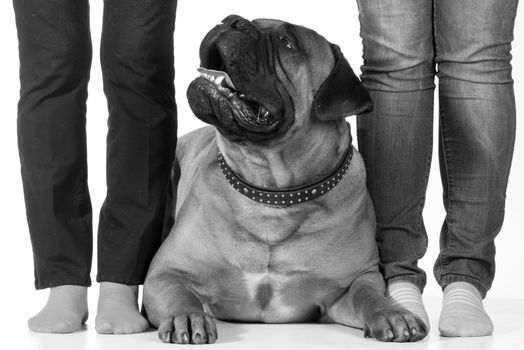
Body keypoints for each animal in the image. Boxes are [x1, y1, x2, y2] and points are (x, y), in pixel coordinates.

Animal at [141, 15, 428, 344]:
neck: (271, 194)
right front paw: (187, 317)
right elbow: (180, 295)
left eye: (287, 43)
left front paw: (392, 313)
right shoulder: (167, 271)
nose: (232, 20)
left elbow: (368, 295)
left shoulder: (353, 282)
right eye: (250, 21)